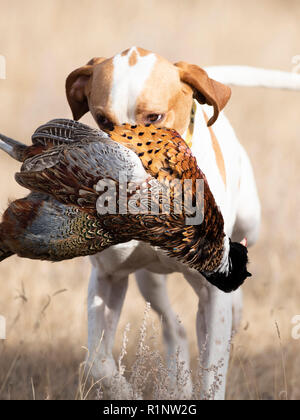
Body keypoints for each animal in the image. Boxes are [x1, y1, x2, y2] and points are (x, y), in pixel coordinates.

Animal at [64, 47, 298, 398]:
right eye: (102, 120)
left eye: (154, 118)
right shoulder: (108, 276)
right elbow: (97, 362)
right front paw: (129, 394)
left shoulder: (212, 294)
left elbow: (213, 371)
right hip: (149, 281)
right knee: (175, 328)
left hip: (250, 222)